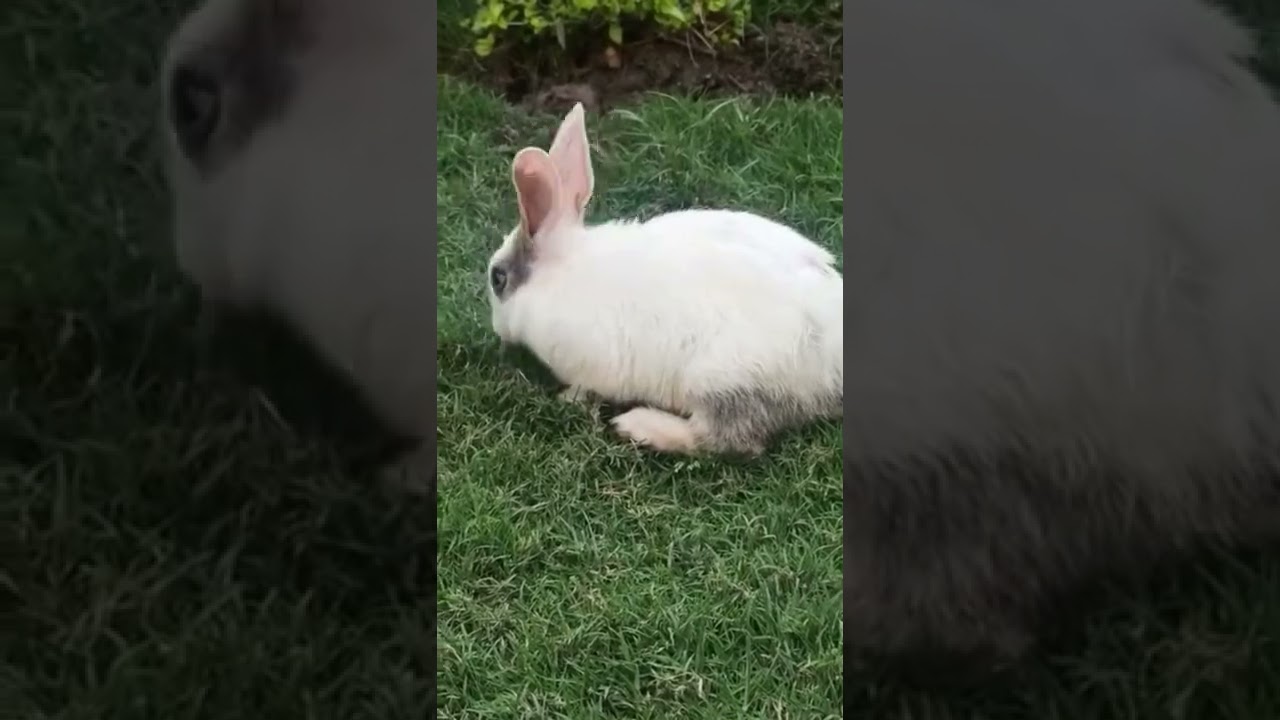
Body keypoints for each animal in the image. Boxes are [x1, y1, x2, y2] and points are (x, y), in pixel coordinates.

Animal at [486, 103, 843, 456]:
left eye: (497, 278)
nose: (497, 330)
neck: (558, 275)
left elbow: (586, 388)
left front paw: (567, 398)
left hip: (720, 379)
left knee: (727, 440)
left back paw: (639, 426)